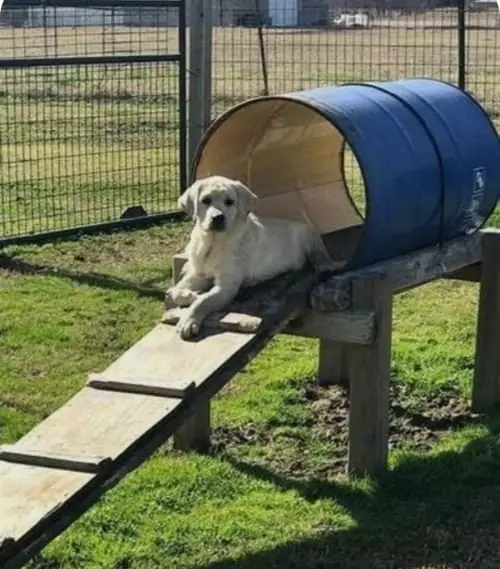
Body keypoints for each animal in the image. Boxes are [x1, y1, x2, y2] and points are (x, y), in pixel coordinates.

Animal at [166, 175, 326, 340]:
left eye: (229, 201)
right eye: (206, 200)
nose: (218, 218)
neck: (213, 242)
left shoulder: (227, 286)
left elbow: (204, 300)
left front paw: (189, 320)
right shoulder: (198, 274)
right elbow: (172, 291)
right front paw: (189, 295)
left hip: (310, 238)